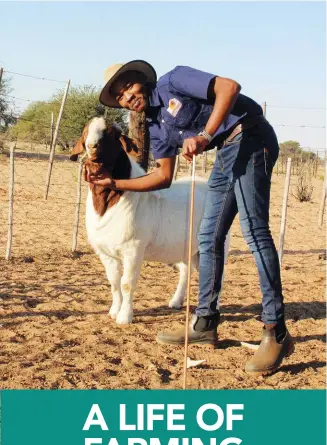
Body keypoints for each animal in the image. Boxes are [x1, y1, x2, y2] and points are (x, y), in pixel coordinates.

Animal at [72, 117, 231, 326]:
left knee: (216, 273)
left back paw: (214, 310)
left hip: (218, 241)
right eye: (85, 131)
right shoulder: (105, 252)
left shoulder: (133, 249)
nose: (91, 146)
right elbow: (113, 282)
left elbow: (126, 283)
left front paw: (124, 317)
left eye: (112, 135)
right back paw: (176, 301)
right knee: (186, 271)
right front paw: (114, 311)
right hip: (186, 247)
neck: (109, 203)